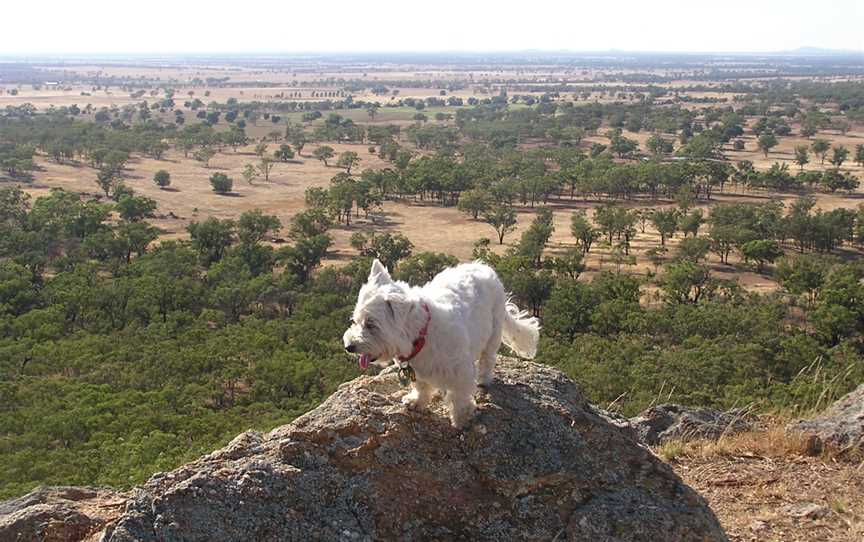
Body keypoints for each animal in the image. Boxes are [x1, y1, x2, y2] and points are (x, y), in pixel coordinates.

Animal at [344, 260, 540, 430]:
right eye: (355, 321)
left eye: (371, 324)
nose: (349, 346)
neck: (421, 335)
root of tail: (484, 267)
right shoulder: (417, 372)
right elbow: (421, 387)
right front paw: (417, 401)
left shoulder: (461, 372)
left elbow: (459, 397)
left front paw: (461, 419)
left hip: (494, 331)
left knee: (488, 358)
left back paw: (484, 379)